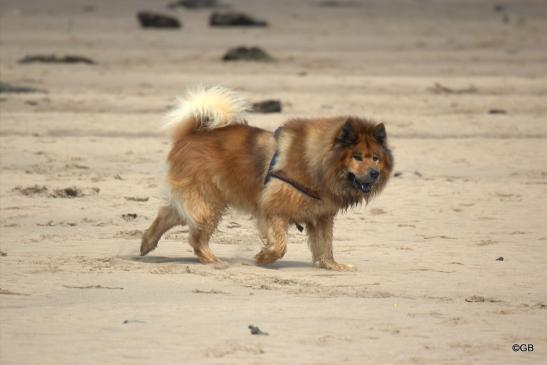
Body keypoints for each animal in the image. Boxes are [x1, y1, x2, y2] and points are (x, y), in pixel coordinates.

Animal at [139, 86, 392, 268]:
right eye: (357, 157)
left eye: (376, 158)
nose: (374, 173)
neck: (317, 164)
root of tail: (192, 133)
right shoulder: (274, 209)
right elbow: (280, 245)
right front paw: (263, 258)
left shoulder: (321, 215)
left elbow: (325, 244)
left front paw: (332, 266)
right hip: (207, 203)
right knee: (195, 237)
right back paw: (212, 260)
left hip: (204, 201)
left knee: (168, 214)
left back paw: (146, 243)